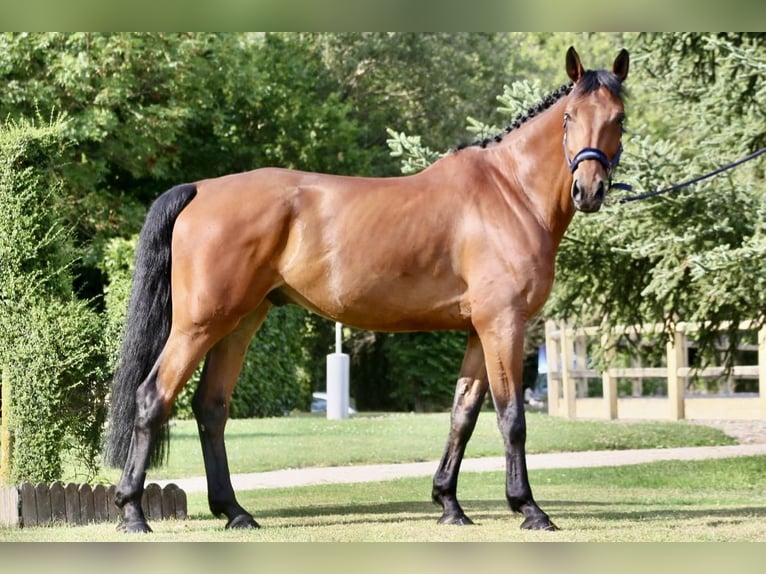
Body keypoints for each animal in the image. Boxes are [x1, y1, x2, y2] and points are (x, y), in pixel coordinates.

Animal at [105, 46, 629, 533]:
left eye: (618, 120)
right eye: (569, 117)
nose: (589, 191)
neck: (510, 192)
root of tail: (202, 188)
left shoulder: (480, 330)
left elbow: (462, 415)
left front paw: (449, 504)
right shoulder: (503, 324)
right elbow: (511, 418)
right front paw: (529, 509)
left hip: (240, 321)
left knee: (211, 408)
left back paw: (234, 512)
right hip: (199, 324)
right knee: (152, 398)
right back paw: (132, 512)